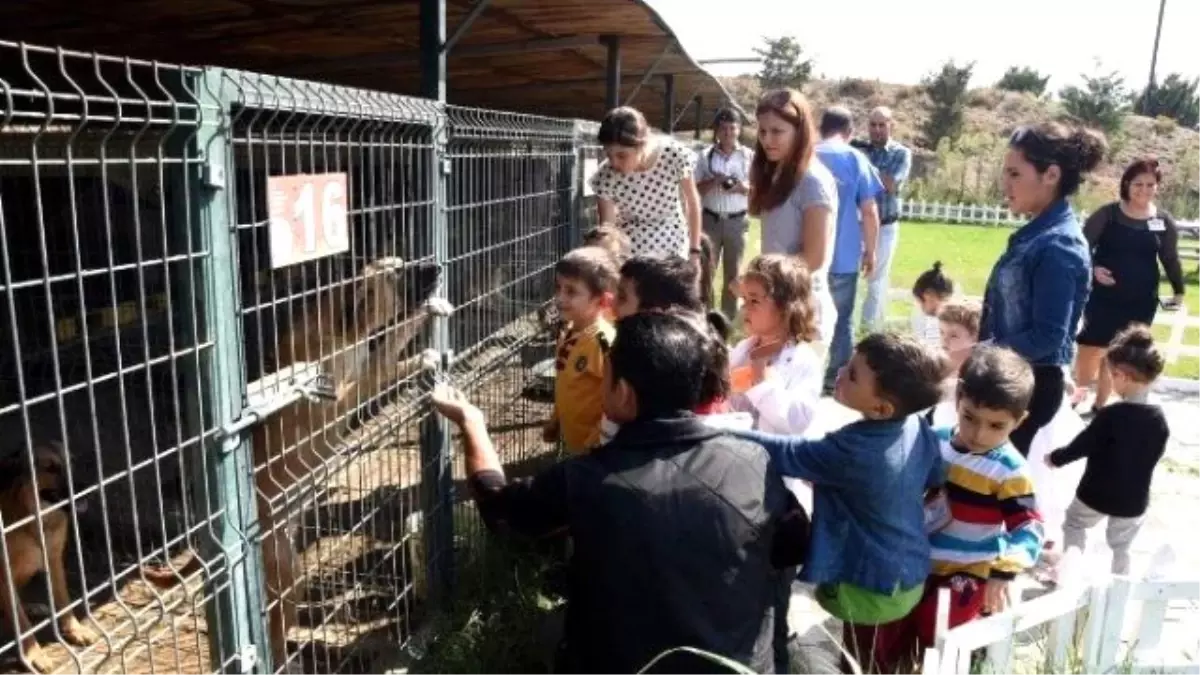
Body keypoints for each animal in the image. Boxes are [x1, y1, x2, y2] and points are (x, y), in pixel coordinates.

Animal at [0, 441, 100, 667]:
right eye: (50, 468)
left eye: (71, 462)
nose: (85, 490)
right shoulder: (4, 575)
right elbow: (22, 623)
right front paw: (33, 654)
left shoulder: (54, 560)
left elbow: (63, 600)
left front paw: (75, 630)